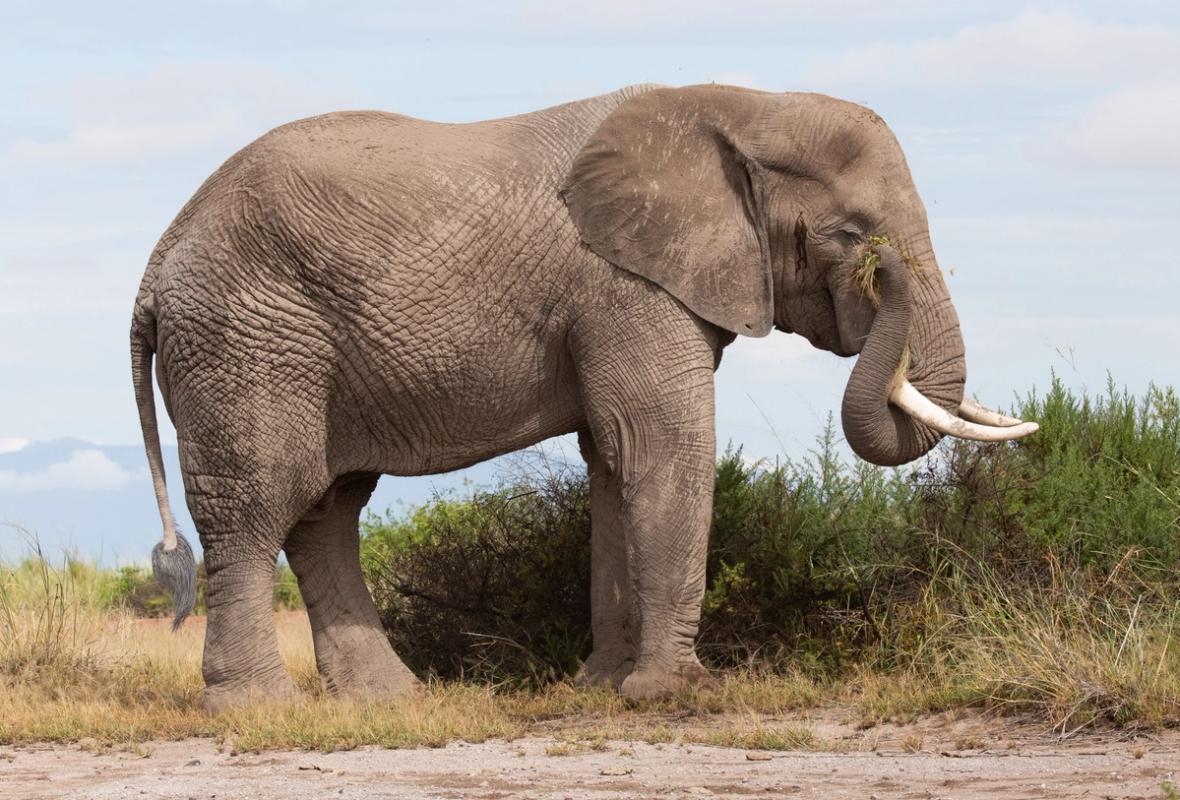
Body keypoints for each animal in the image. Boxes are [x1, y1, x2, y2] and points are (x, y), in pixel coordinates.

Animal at [132, 83, 1036, 711]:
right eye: (849, 236)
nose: (885, 272)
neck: (738, 105)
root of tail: (160, 256)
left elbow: (614, 461)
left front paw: (603, 687)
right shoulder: (625, 288)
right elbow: (662, 445)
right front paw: (674, 694)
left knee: (327, 509)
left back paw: (387, 699)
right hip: (246, 341)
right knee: (260, 501)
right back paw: (256, 706)